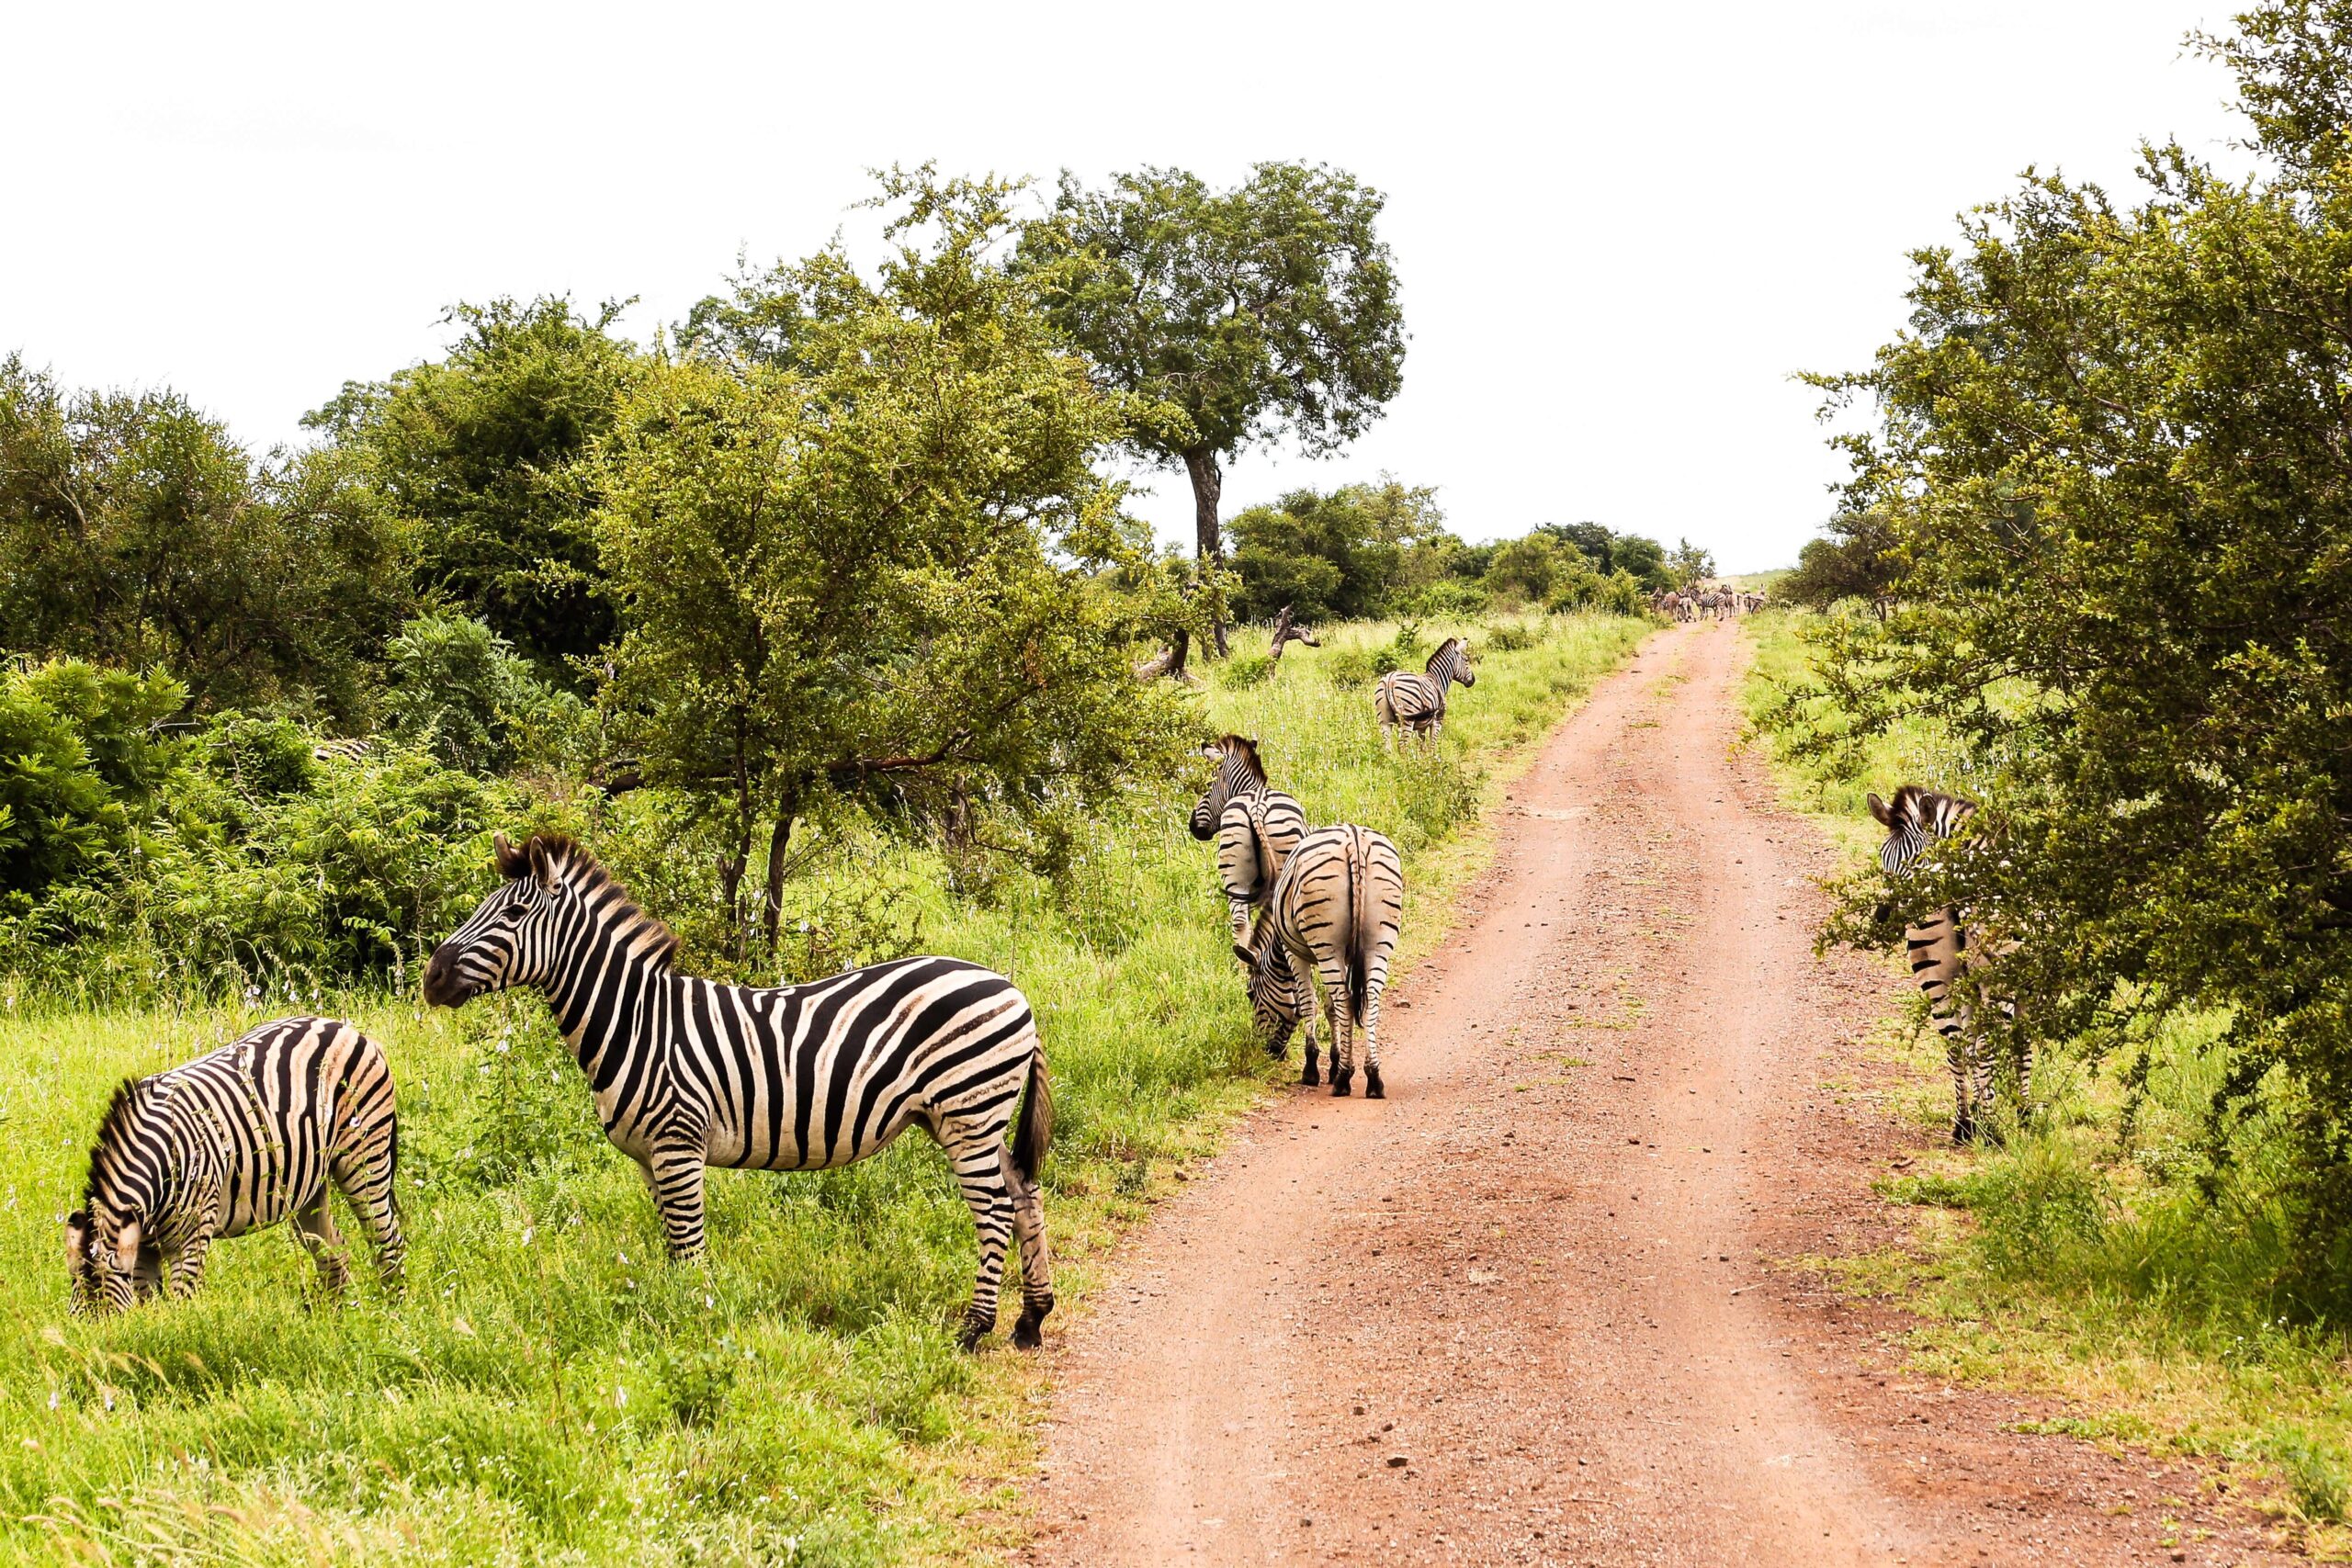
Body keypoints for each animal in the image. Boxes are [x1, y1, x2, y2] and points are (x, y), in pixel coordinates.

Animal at [64, 1016, 405, 1316]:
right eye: (79, 1324)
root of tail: (344, 1027)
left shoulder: (193, 1232)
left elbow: (181, 1301)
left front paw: (181, 1337)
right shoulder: (143, 1248)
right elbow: (149, 1304)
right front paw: (151, 1332)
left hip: (365, 1155)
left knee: (387, 1238)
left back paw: (392, 1314)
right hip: (308, 1185)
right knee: (334, 1252)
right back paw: (338, 1324)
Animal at [423, 833, 1055, 1350]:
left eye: (513, 912)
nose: (431, 978)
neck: (636, 1021)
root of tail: (1013, 989)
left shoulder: (678, 1144)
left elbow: (689, 1245)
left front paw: (696, 1325)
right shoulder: (649, 1157)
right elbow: (672, 1245)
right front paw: (679, 1315)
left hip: (967, 1111)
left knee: (996, 1208)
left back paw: (974, 1329)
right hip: (970, 1117)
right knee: (1024, 1192)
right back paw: (1032, 1319)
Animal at [1232, 824, 1404, 1097]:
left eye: (1250, 994)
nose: (1269, 1052)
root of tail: (1354, 839)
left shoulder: (1294, 954)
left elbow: (1308, 1004)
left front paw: (1314, 1067)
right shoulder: (1345, 957)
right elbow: (1330, 1006)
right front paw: (1336, 1062)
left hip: (1326, 944)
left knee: (1346, 1002)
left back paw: (1343, 1081)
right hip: (1378, 942)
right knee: (1370, 1002)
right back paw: (1373, 1078)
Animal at [1869, 785, 2028, 1143]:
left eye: (1915, 860)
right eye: (1883, 858)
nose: (1882, 916)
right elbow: (2021, 1048)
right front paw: (2025, 1115)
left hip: (1936, 976)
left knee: (1958, 1047)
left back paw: (1964, 1125)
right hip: (1994, 978)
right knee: (1983, 1047)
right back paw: (1989, 1130)